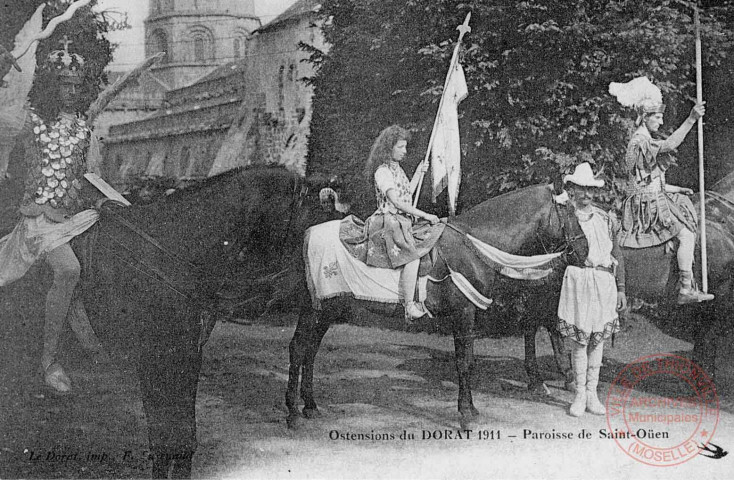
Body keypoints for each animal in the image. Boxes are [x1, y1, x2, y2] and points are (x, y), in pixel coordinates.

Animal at [72, 164, 344, 476]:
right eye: (315, 226)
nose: (330, 288)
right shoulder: (154, 359)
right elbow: (165, 437)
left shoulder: (187, 356)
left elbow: (182, 437)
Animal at [284, 184, 584, 428]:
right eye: (569, 212)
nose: (586, 250)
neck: (473, 248)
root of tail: (307, 234)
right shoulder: (464, 314)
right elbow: (464, 363)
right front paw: (465, 415)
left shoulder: (467, 316)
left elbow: (468, 361)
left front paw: (471, 409)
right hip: (313, 309)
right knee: (298, 348)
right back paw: (293, 413)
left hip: (326, 310)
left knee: (311, 350)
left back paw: (310, 407)